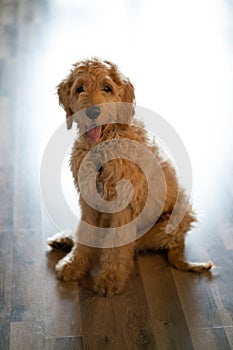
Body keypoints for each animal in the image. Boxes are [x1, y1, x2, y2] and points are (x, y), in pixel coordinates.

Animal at [47, 57, 213, 296]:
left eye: (107, 88)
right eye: (80, 88)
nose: (93, 112)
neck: (102, 148)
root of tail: (179, 242)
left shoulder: (124, 205)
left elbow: (116, 244)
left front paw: (110, 278)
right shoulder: (88, 199)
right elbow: (85, 232)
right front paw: (75, 264)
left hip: (170, 221)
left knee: (127, 245)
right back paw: (65, 239)